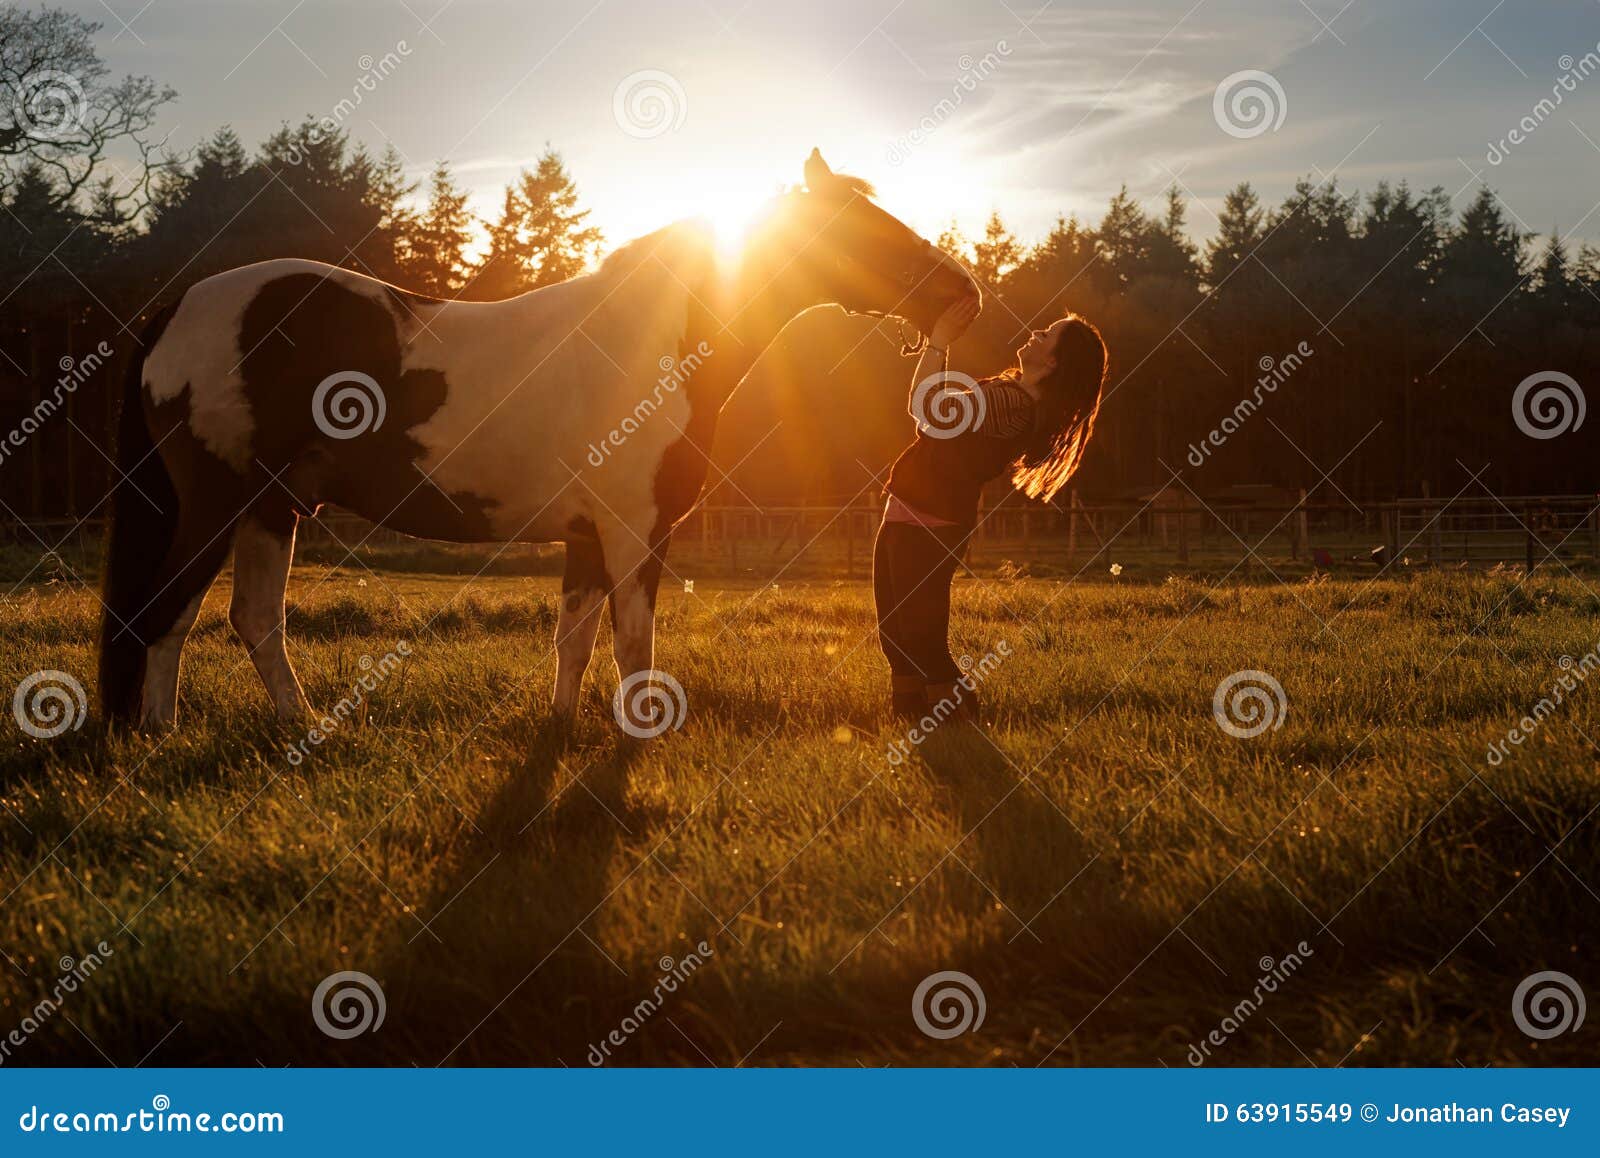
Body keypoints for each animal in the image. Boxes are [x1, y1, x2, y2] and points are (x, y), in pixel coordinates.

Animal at [100, 151, 979, 732]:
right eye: (863, 227)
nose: (964, 292)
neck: (648, 346)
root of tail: (179, 308)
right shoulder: (633, 532)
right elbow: (633, 644)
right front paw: (638, 742)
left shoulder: (587, 538)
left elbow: (575, 643)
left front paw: (561, 732)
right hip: (217, 505)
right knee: (168, 612)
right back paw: (160, 735)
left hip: (271, 507)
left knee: (252, 620)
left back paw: (305, 728)